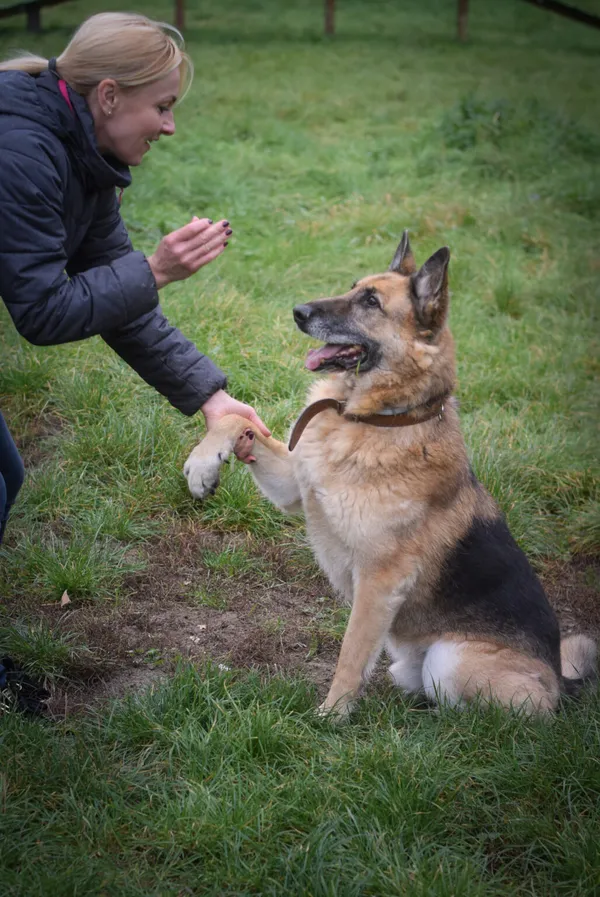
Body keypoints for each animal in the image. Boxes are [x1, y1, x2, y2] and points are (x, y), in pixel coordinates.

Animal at [184, 234, 596, 716]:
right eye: (352, 287)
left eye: (371, 302)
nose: (298, 312)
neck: (373, 418)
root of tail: (559, 680)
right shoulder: (294, 487)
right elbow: (236, 421)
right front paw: (203, 463)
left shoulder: (379, 581)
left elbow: (350, 653)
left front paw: (331, 715)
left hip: (451, 661)